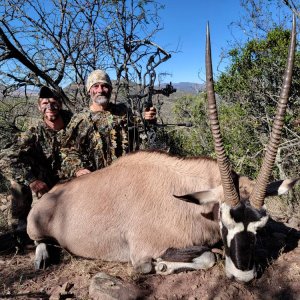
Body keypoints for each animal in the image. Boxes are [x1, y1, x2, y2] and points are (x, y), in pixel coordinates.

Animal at [27, 17, 298, 282]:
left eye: (260, 227)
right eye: (224, 220)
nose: (242, 276)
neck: (186, 200)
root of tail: (52, 193)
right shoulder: (143, 252)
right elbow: (205, 257)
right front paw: (163, 266)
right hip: (35, 228)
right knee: (38, 241)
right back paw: (42, 257)